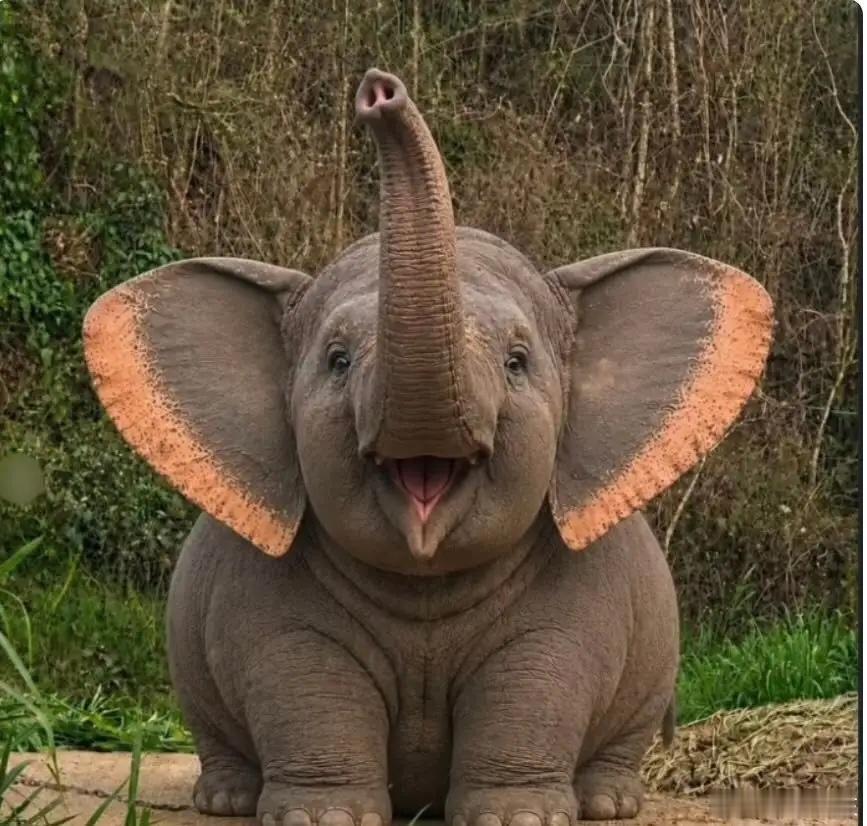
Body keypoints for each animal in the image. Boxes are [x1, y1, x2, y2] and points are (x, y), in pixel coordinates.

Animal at [82, 69, 773, 824]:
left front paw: (517, 818)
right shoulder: (268, 610)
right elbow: (300, 671)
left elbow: (539, 672)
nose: (379, 91)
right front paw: (321, 818)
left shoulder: (573, 608)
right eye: (337, 360)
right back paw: (227, 799)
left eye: (517, 361)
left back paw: (608, 801)